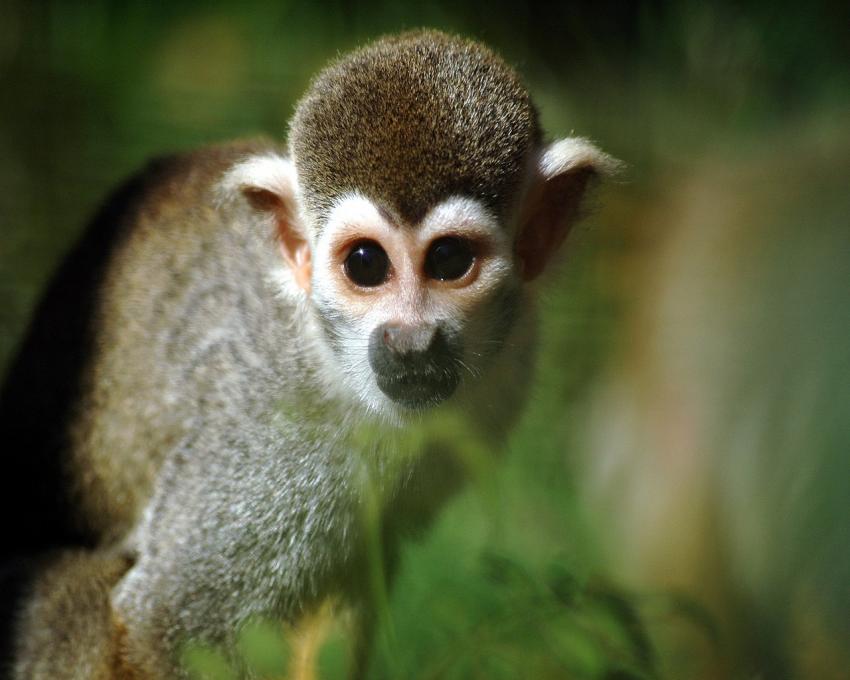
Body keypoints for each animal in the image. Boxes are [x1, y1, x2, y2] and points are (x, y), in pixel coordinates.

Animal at [0, 30, 617, 678]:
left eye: (450, 261)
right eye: (365, 264)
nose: (411, 341)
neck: (332, 363)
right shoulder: (271, 439)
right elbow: (163, 619)